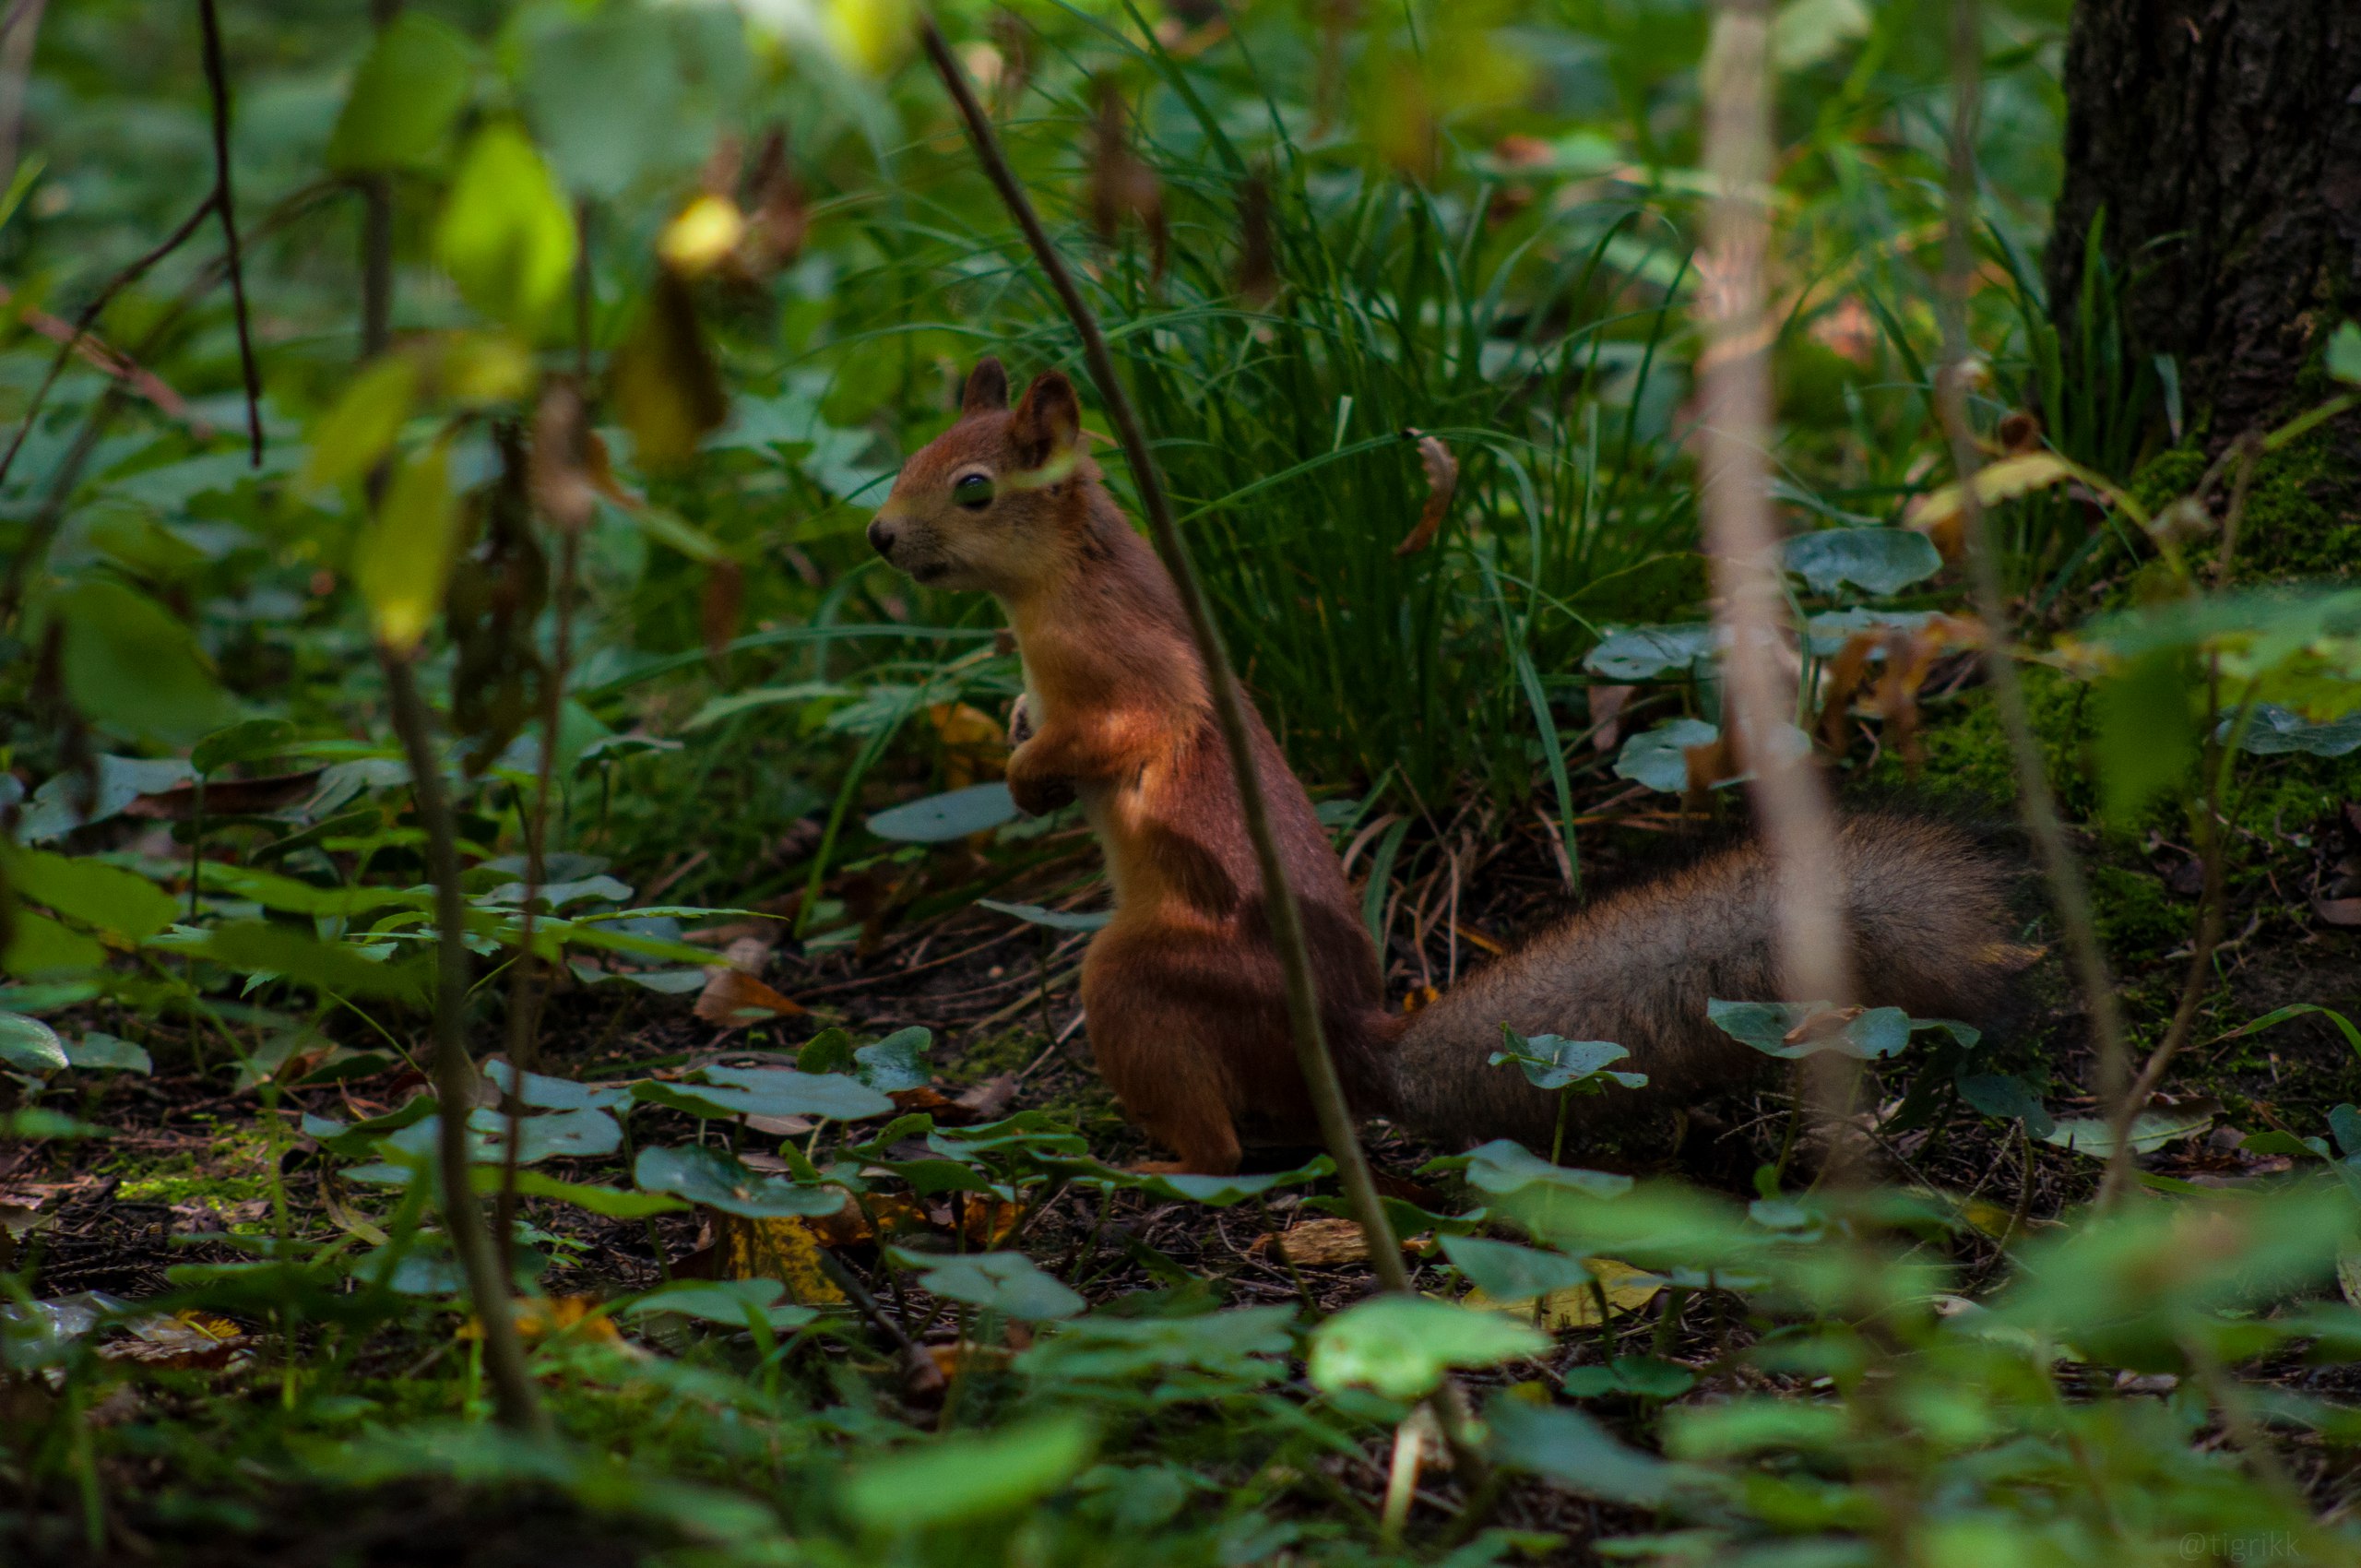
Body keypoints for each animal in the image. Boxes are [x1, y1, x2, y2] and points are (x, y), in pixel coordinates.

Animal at [873, 359, 2030, 1161]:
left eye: (972, 488)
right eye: (913, 453)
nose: (879, 537)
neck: (1063, 578)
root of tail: (1346, 1043)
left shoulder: (1129, 670)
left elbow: (1129, 730)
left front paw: (1031, 773)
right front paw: (1017, 727)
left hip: (1158, 976)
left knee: (1224, 1143)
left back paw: (1155, 1166)